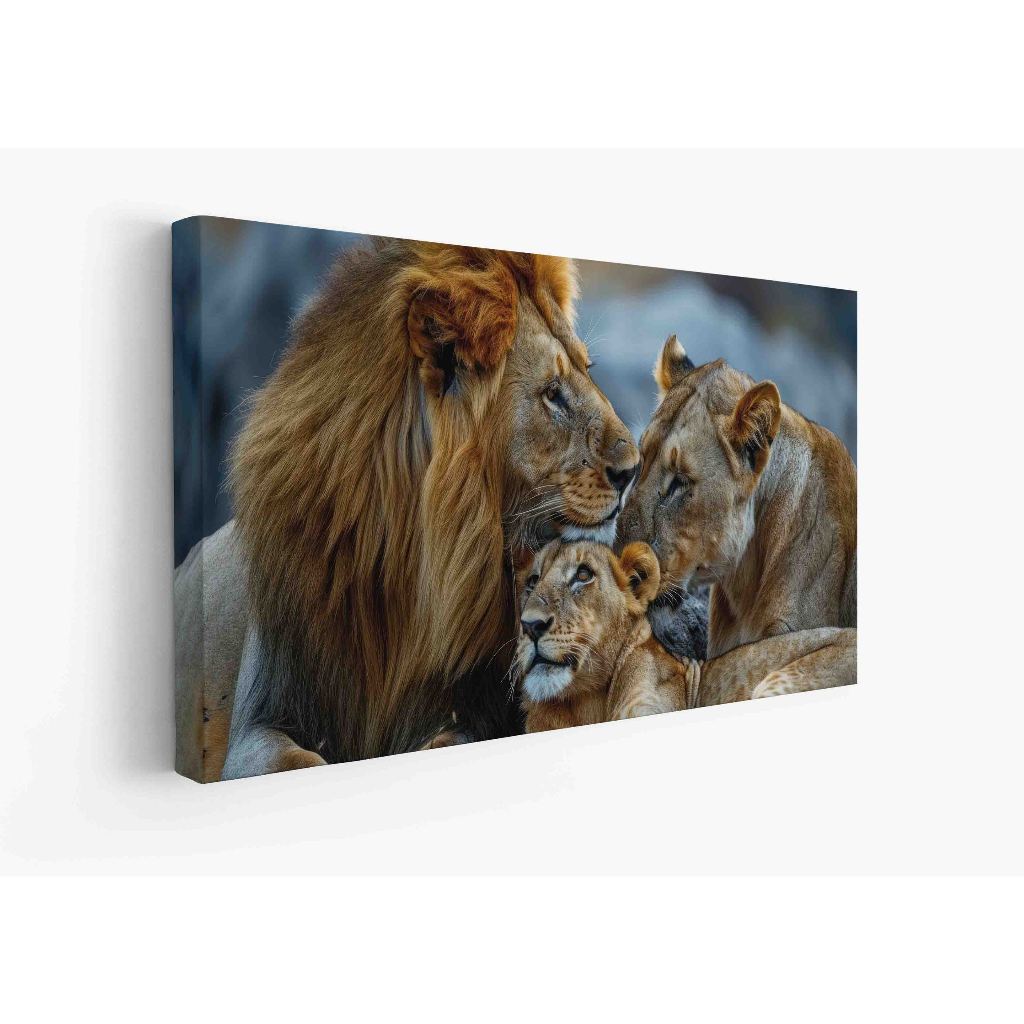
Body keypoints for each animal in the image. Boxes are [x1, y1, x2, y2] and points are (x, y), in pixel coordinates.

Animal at [176, 239, 641, 781]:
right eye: (552, 394)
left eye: (589, 371)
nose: (632, 470)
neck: (407, 562)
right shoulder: (261, 717)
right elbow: (295, 759)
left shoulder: (485, 709)